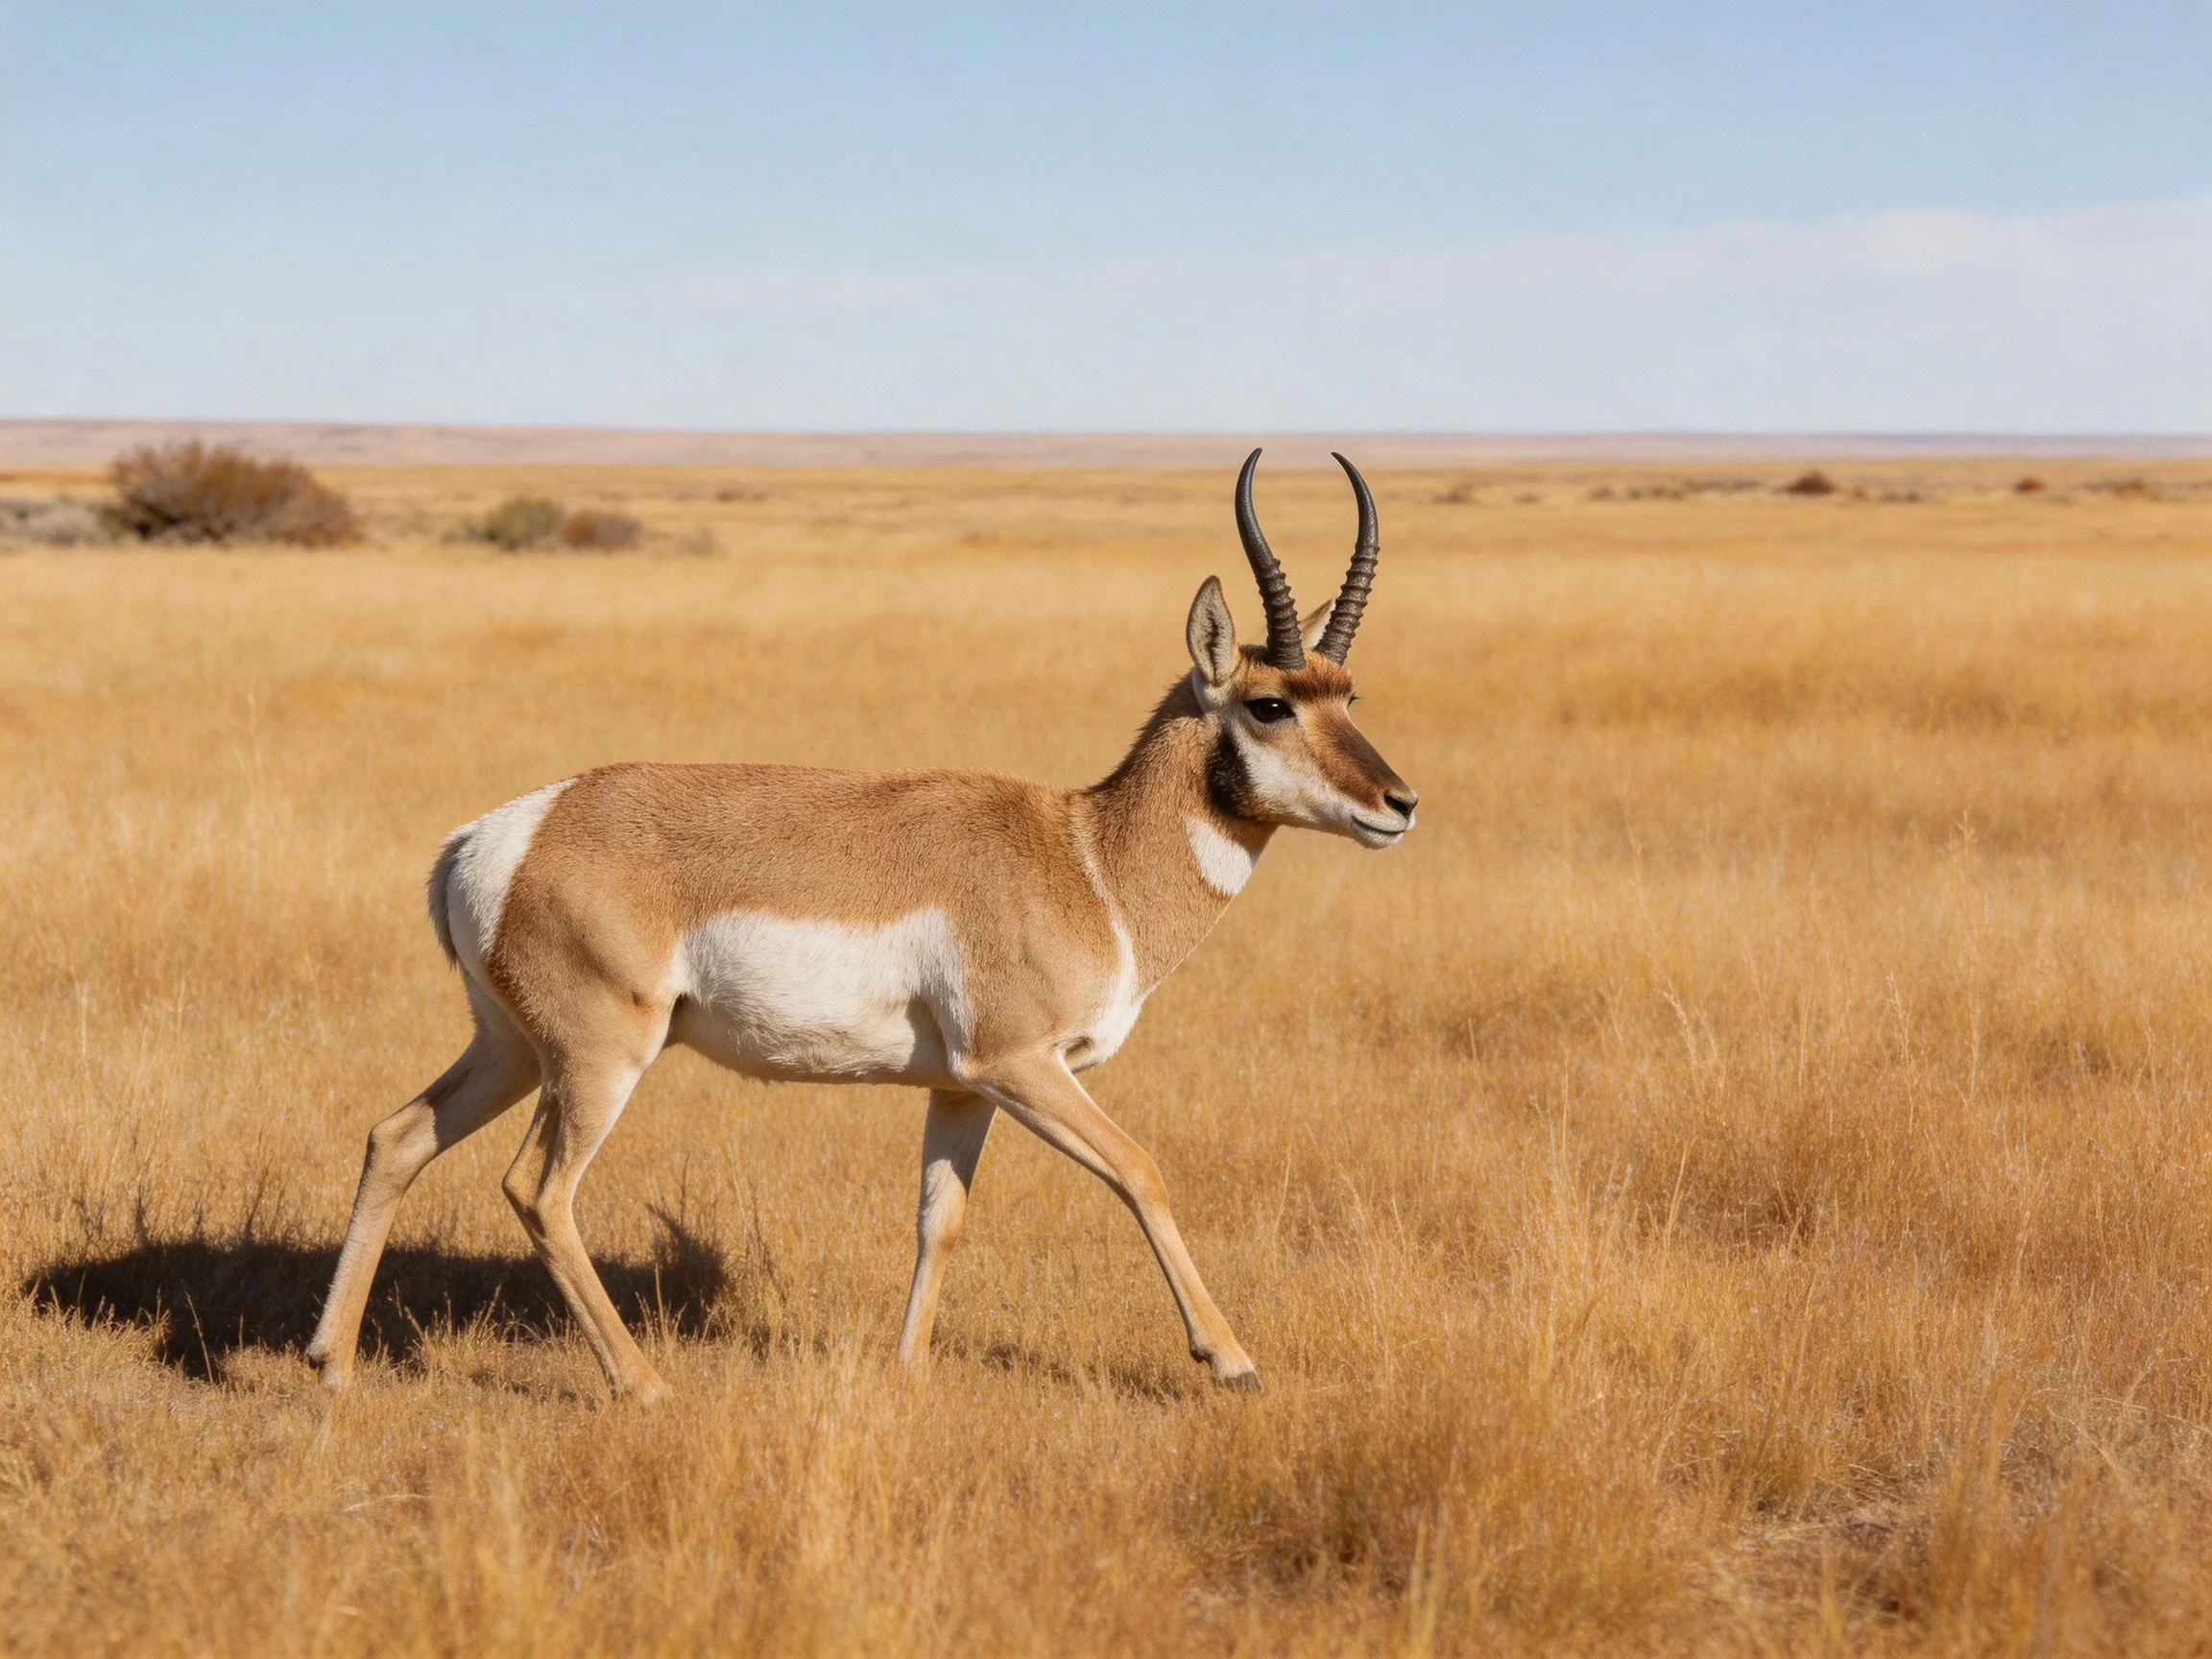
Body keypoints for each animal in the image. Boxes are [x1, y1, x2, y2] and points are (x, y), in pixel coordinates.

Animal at [307, 450, 1417, 1399]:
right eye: (1271, 703)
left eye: (1349, 693)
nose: (1399, 804)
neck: (1085, 857)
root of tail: (496, 836)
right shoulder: (1022, 1065)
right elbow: (1143, 1170)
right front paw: (1231, 1360)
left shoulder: (963, 1088)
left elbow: (941, 1220)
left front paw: (910, 1370)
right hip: (596, 1058)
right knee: (539, 1190)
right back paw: (645, 1386)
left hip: (509, 1047)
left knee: (398, 1136)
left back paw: (333, 1363)